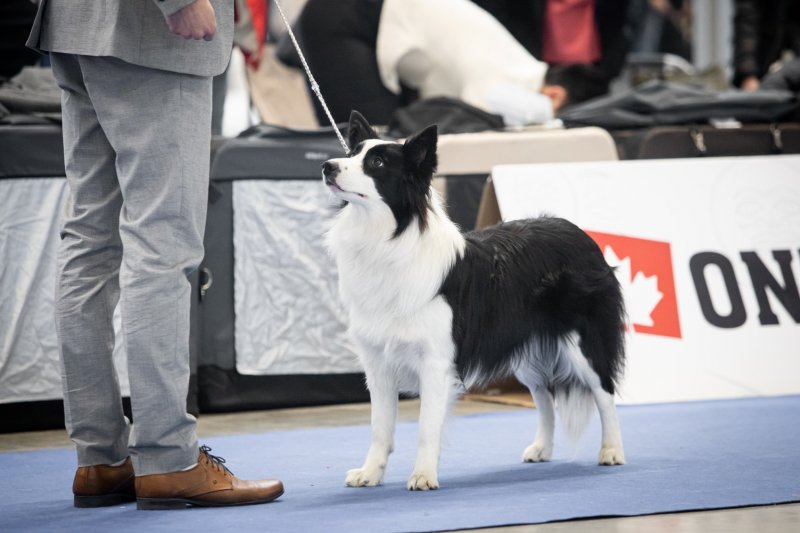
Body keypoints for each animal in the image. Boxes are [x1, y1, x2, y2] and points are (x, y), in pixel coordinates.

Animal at [322, 111, 628, 490]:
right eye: (352, 153)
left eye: (377, 163)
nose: (327, 167)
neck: (387, 237)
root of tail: (578, 233)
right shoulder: (378, 361)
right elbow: (380, 427)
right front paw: (370, 473)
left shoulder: (435, 361)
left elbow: (426, 427)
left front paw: (423, 475)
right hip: (525, 351)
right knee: (544, 396)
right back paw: (542, 448)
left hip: (583, 341)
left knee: (604, 391)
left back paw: (612, 451)